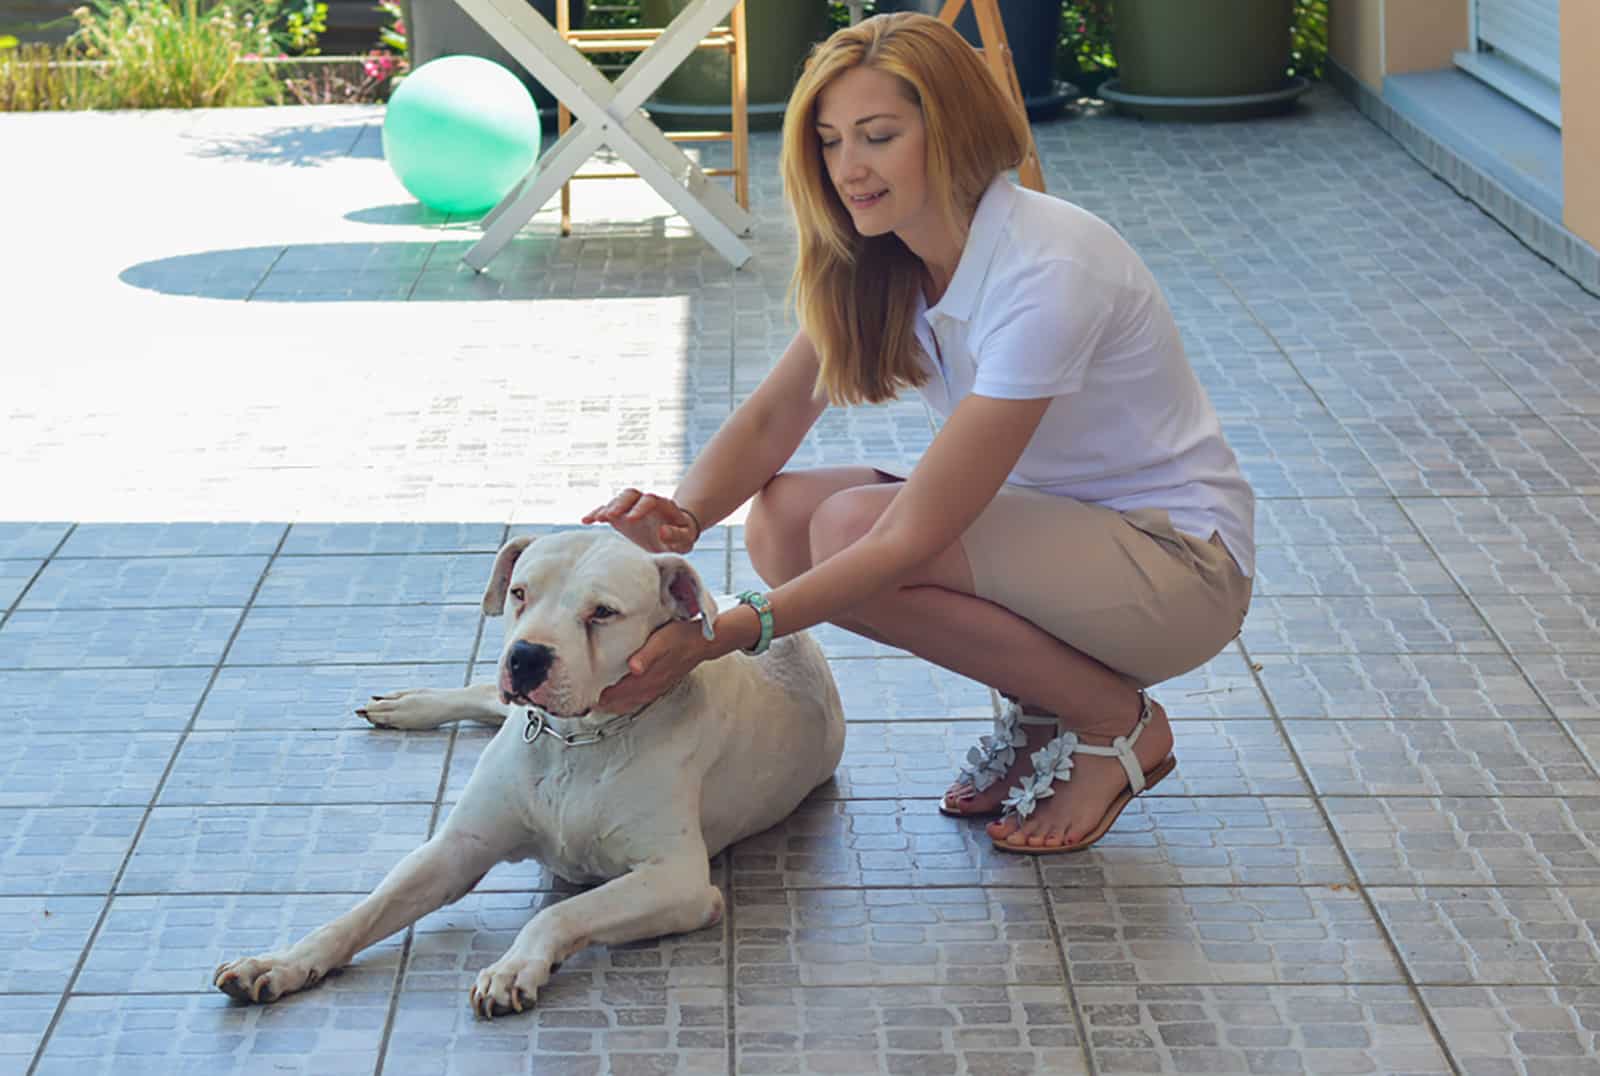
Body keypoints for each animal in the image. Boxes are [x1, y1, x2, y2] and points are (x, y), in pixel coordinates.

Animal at [212, 528, 851, 1018]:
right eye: (520, 592)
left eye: (602, 613)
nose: (525, 656)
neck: (576, 743)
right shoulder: (456, 848)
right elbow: (359, 914)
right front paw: (282, 962)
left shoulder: (678, 881)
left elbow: (563, 911)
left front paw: (513, 966)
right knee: (481, 696)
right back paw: (412, 705)